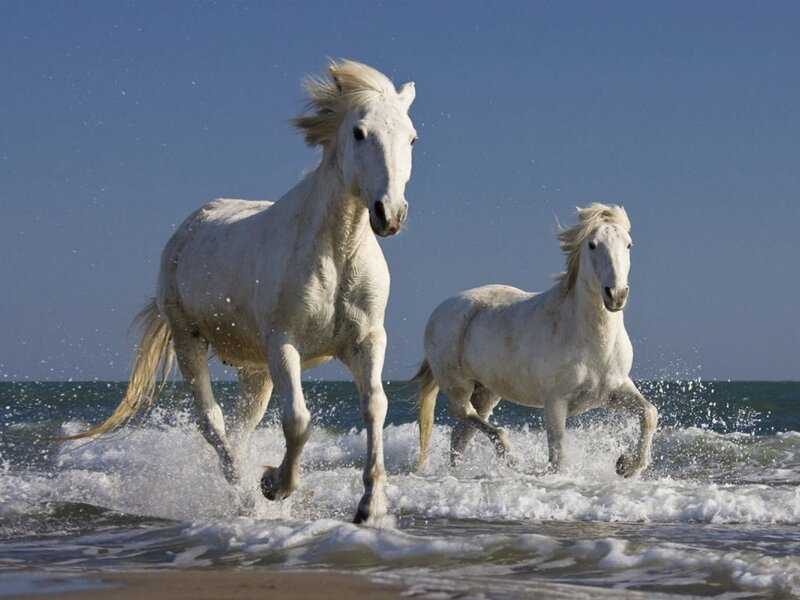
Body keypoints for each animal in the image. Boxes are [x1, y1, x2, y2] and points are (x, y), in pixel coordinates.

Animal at [64, 60, 418, 524]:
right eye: (359, 132)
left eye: (411, 137)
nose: (389, 214)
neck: (337, 250)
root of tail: (189, 227)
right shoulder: (283, 343)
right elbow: (298, 420)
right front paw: (273, 485)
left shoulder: (368, 340)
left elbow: (375, 405)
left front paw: (369, 506)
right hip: (190, 341)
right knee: (212, 423)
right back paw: (245, 496)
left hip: (255, 370)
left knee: (238, 430)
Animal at [415, 204, 658, 478]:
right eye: (592, 245)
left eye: (629, 244)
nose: (616, 295)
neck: (592, 342)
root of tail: (439, 311)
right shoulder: (555, 402)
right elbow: (558, 455)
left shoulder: (613, 391)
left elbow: (649, 413)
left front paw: (626, 466)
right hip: (458, 385)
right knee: (466, 415)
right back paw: (509, 456)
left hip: (486, 392)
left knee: (461, 434)